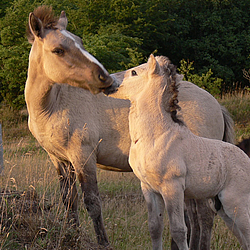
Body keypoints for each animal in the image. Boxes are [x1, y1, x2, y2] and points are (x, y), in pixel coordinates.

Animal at [24, 5, 233, 248]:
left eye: (80, 43)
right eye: (58, 50)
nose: (104, 77)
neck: (54, 104)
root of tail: (217, 105)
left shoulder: (83, 156)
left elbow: (92, 203)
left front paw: (103, 243)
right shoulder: (59, 160)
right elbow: (69, 201)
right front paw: (72, 236)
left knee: (205, 216)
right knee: (193, 218)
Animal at [111, 55, 250, 250]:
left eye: (134, 72)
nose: (108, 80)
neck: (157, 136)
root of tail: (246, 159)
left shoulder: (173, 187)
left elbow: (179, 230)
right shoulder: (148, 188)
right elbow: (155, 227)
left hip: (237, 203)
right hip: (224, 208)